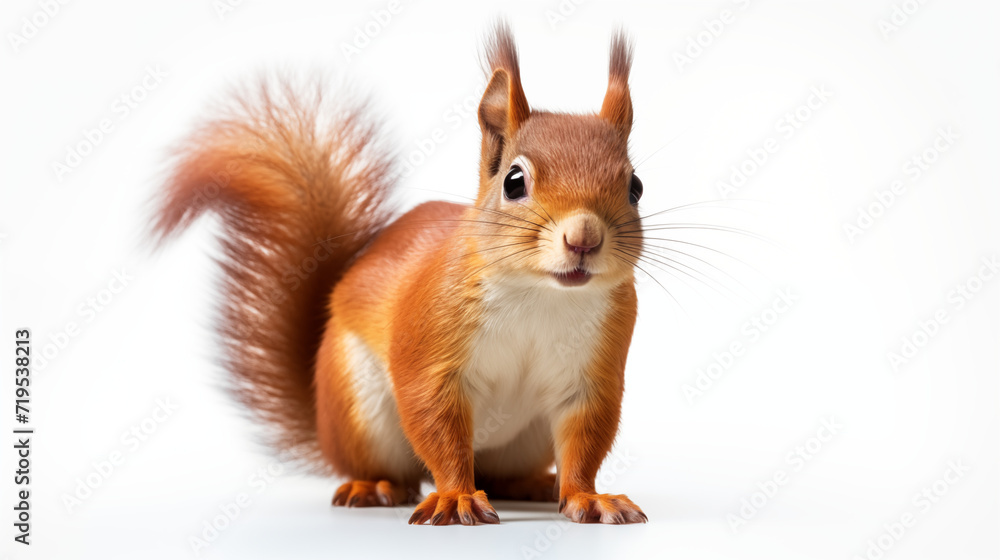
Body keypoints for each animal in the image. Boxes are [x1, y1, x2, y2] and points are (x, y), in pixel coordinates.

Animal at [152, 22, 647, 526]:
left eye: (635, 187)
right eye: (514, 182)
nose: (583, 238)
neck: (541, 293)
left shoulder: (595, 368)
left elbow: (586, 437)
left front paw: (587, 497)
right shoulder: (429, 340)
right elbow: (435, 418)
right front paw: (456, 497)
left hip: (523, 442)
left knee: (498, 473)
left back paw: (533, 485)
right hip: (360, 410)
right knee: (397, 468)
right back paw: (375, 486)